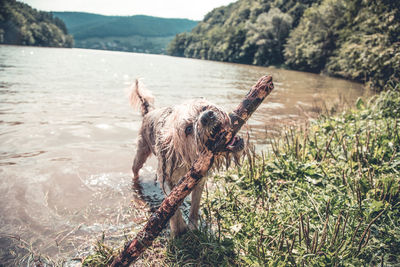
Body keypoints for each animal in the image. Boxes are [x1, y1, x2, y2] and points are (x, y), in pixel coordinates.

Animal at [130, 79, 244, 237]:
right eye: (188, 129)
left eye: (203, 108)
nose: (207, 116)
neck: (186, 159)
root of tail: (148, 112)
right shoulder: (167, 179)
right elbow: (171, 206)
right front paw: (178, 230)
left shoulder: (199, 179)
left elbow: (195, 205)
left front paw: (193, 226)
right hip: (141, 152)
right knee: (135, 170)